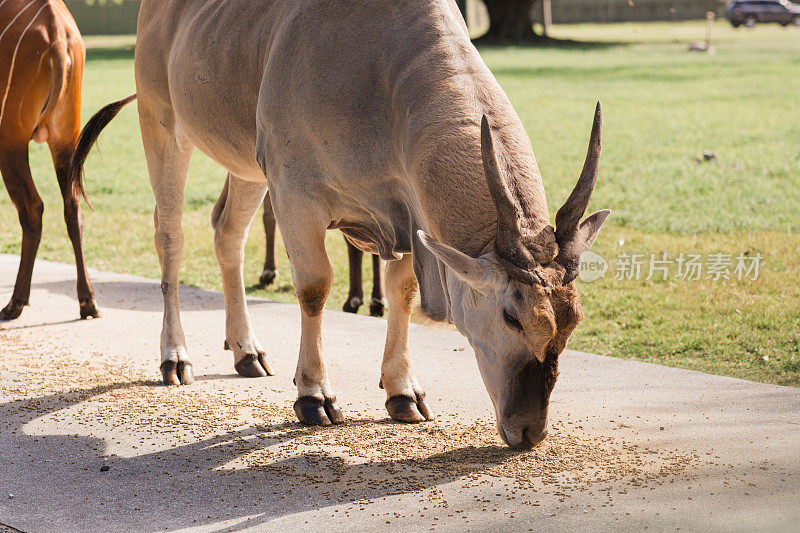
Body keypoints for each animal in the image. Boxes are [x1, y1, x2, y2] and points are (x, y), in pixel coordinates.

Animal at [0, 0, 98, 320]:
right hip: (67, 139)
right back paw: (87, 302)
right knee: (73, 207)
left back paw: (15, 303)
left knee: (32, 207)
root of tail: (57, 36)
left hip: (11, 139)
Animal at [72, 0, 608, 446]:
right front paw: (314, 396)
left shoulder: (402, 211)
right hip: (162, 124)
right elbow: (314, 287)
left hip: (247, 164)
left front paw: (403, 393)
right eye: (511, 316)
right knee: (171, 235)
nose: (529, 431)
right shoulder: (295, 190)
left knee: (228, 232)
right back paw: (175, 357)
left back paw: (246, 352)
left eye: (573, 322)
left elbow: (401, 292)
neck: (385, 82)